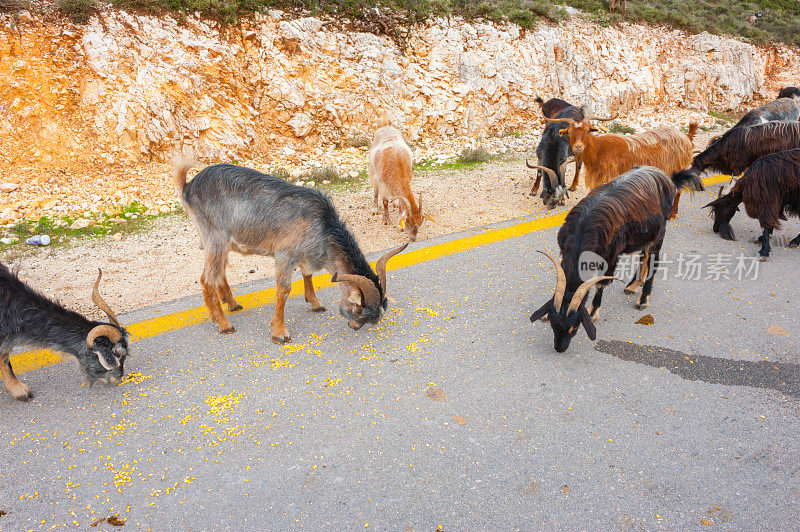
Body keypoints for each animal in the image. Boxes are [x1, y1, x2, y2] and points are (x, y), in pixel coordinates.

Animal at [177, 162, 410, 342]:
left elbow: (307, 274)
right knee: (207, 278)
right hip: (215, 237)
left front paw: (315, 303)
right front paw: (280, 332)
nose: (353, 326)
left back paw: (231, 304)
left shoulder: (305, 254)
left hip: (221, 243)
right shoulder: (284, 255)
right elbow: (284, 290)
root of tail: (188, 186)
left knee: (219, 272)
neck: (322, 225)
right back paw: (223, 323)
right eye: (358, 310)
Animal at [532, 164, 708, 352]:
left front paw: (593, 312)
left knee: (653, 262)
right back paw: (633, 285)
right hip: (643, 236)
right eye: (553, 324)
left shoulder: (611, 257)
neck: (582, 231)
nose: (560, 348)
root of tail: (668, 178)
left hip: (659, 234)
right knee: (643, 256)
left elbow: (601, 284)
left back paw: (643, 300)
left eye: (575, 327)